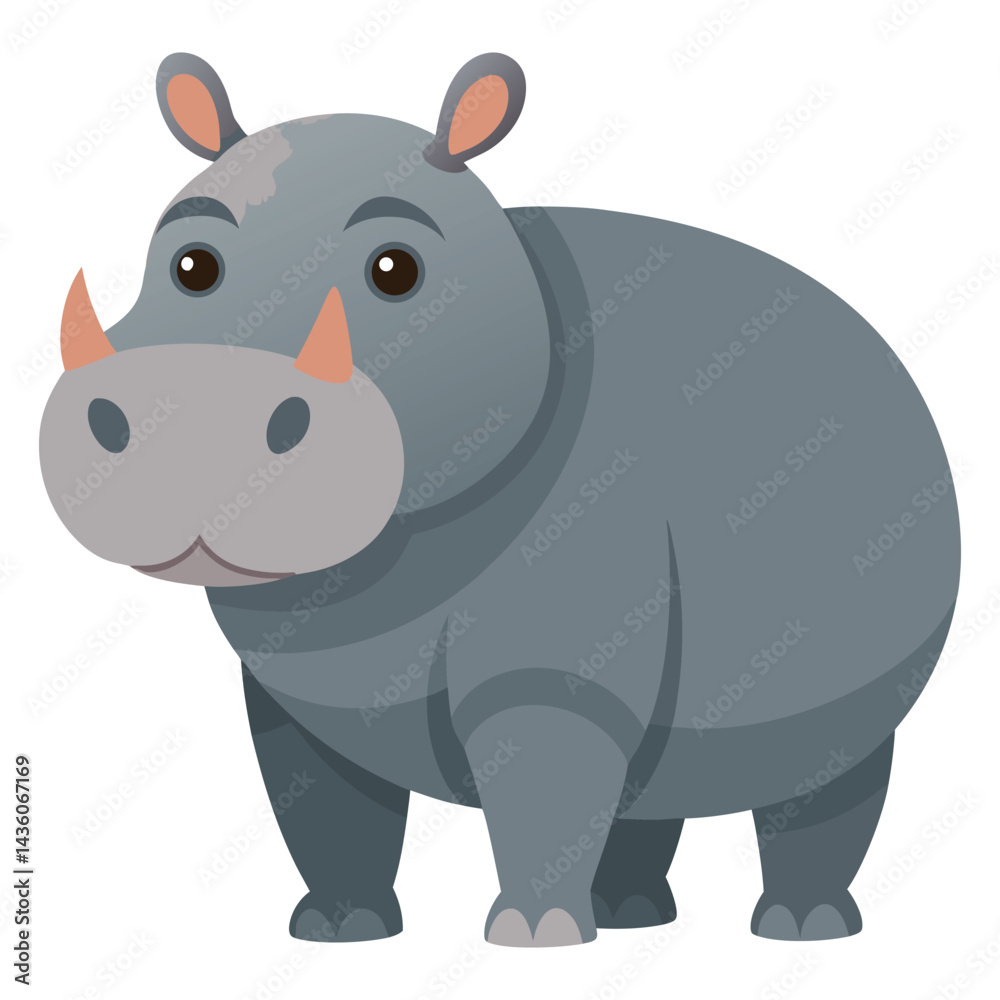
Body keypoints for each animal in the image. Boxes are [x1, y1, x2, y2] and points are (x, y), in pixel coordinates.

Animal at [39, 51, 960, 948]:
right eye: (190, 264)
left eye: (396, 270)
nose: (187, 407)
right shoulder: (289, 699)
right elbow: (324, 805)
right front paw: (337, 933)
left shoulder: (554, 657)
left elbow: (542, 779)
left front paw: (532, 939)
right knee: (646, 790)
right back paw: (633, 917)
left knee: (834, 779)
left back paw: (802, 932)